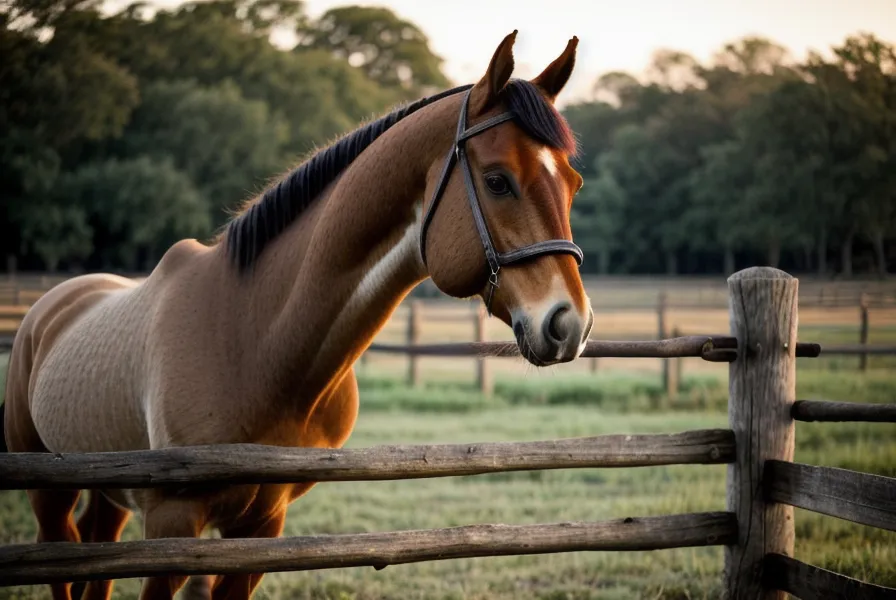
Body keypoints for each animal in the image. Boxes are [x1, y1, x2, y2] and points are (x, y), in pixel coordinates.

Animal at [2, 30, 594, 600]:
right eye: (497, 180)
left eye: (574, 185)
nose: (570, 324)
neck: (255, 342)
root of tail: (50, 308)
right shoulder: (172, 526)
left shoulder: (262, 528)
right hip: (49, 495)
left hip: (111, 497)